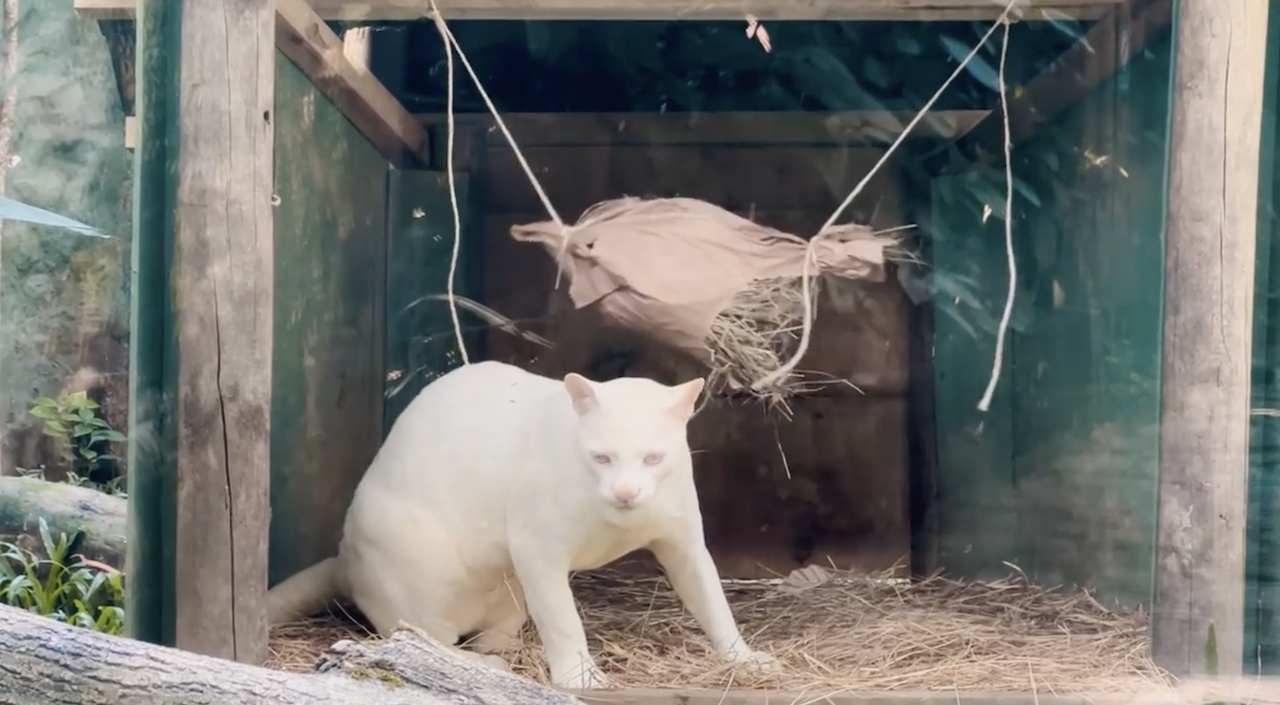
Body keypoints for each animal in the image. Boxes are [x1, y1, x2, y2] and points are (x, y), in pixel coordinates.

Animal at [264, 360, 773, 690]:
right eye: (601, 457)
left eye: (653, 457)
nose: (626, 492)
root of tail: (343, 557)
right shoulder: (537, 549)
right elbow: (563, 620)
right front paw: (580, 677)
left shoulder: (685, 542)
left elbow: (713, 603)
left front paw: (744, 659)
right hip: (419, 576)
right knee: (419, 640)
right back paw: (485, 666)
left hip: (509, 594)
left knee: (490, 634)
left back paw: (503, 650)